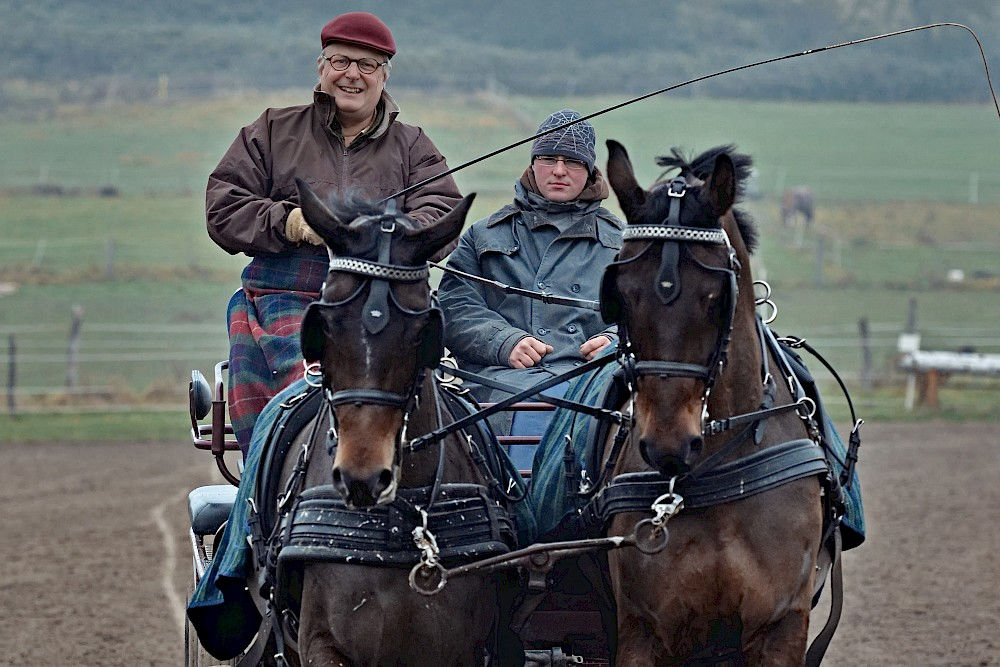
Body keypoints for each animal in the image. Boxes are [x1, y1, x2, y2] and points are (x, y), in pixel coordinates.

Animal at [252, 180, 516, 664]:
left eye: (422, 331)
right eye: (324, 324)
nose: (363, 478)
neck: (393, 528)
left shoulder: (463, 650)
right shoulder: (320, 643)